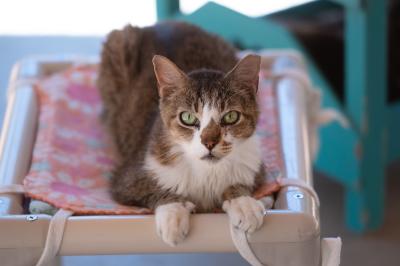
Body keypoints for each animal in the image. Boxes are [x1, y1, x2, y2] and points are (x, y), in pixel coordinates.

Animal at [97, 21, 266, 246]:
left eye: (231, 116)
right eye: (187, 117)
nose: (209, 142)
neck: (207, 172)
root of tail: (162, 24)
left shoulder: (255, 166)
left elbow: (240, 182)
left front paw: (244, 203)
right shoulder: (127, 179)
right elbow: (156, 189)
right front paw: (173, 215)